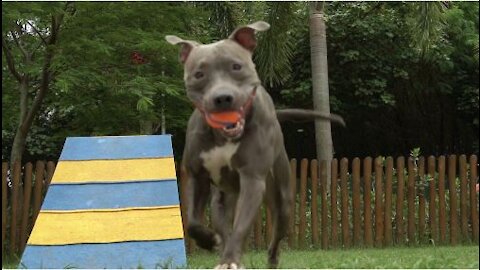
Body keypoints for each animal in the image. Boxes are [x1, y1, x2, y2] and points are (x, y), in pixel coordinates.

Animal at [166, 20, 344, 268]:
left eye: (236, 66)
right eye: (199, 74)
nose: (223, 98)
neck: (224, 136)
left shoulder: (252, 179)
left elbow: (241, 227)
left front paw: (230, 258)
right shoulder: (196, 176)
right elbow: (192, 222)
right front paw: (210, 241)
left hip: (283, 200)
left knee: (275, 236)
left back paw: (267, 259)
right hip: (222, 199)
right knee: (223, 224)